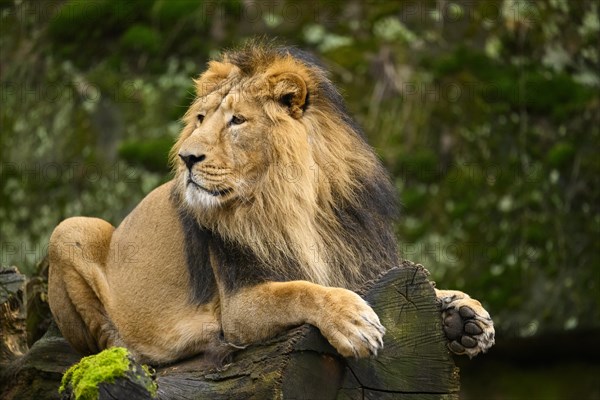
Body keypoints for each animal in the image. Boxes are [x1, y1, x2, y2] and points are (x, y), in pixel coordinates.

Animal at [47, 43, 494, 366]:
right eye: (201, 119)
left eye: (237, 121)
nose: (187, 157)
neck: (297, 204)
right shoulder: (238, 304)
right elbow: (300, 290)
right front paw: (352, 323)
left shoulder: (360, 261)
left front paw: (465, 314)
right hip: (70, 229)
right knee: (102, 343)